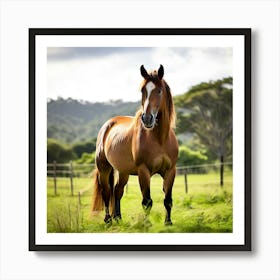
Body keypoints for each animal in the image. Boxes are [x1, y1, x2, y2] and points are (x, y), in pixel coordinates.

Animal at [93, 64, 178, 225]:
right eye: (142, 90)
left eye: (159, 90)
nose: (147, 119)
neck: (159, 139)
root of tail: (107, 125)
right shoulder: (143, 171)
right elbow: (147, 201)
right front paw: (146, 224)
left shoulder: (170, 171)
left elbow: (168, 199)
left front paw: (168, 222)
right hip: (104, 168)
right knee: (106, 192)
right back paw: (108, 220)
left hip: (123, 171)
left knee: (117, 191)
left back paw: (118, 218)